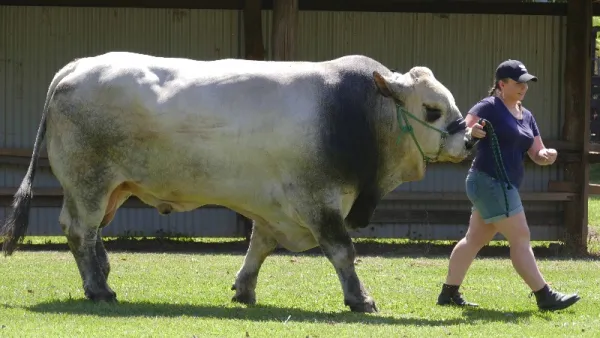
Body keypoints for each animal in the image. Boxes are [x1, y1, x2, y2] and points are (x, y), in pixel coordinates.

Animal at [1, 51, 478, 312]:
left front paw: (244, 289)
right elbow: (343, 252)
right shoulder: (318, 202)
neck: (360, 113)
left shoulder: (272, 206)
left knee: (90, 235)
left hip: (104, 188)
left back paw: (101, 276)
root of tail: (76, 67)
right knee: (80, 231)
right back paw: (99, 288)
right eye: (433, 108)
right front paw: (360, 299)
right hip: (89, 183)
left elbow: (259, 248)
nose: (470, 138)